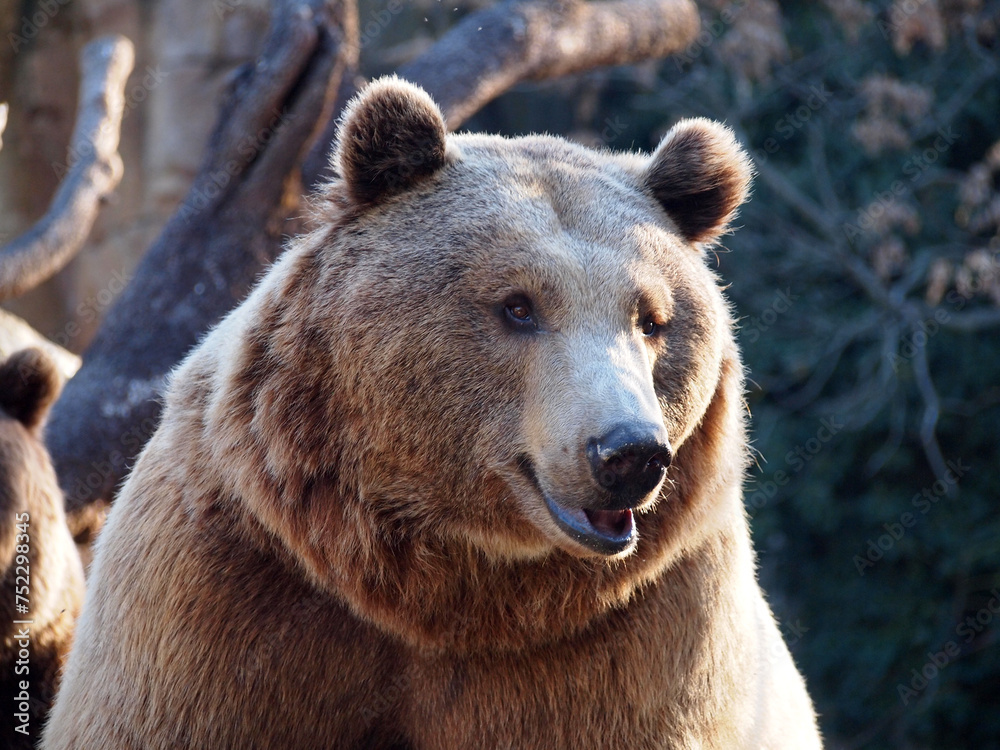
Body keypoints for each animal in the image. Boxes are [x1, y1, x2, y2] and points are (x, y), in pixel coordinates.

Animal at [43, 79, 824, 748]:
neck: (441, 585)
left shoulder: (641, 633)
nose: (628, 453)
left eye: (652, 319)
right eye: (517, 306)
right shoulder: (225, 595)